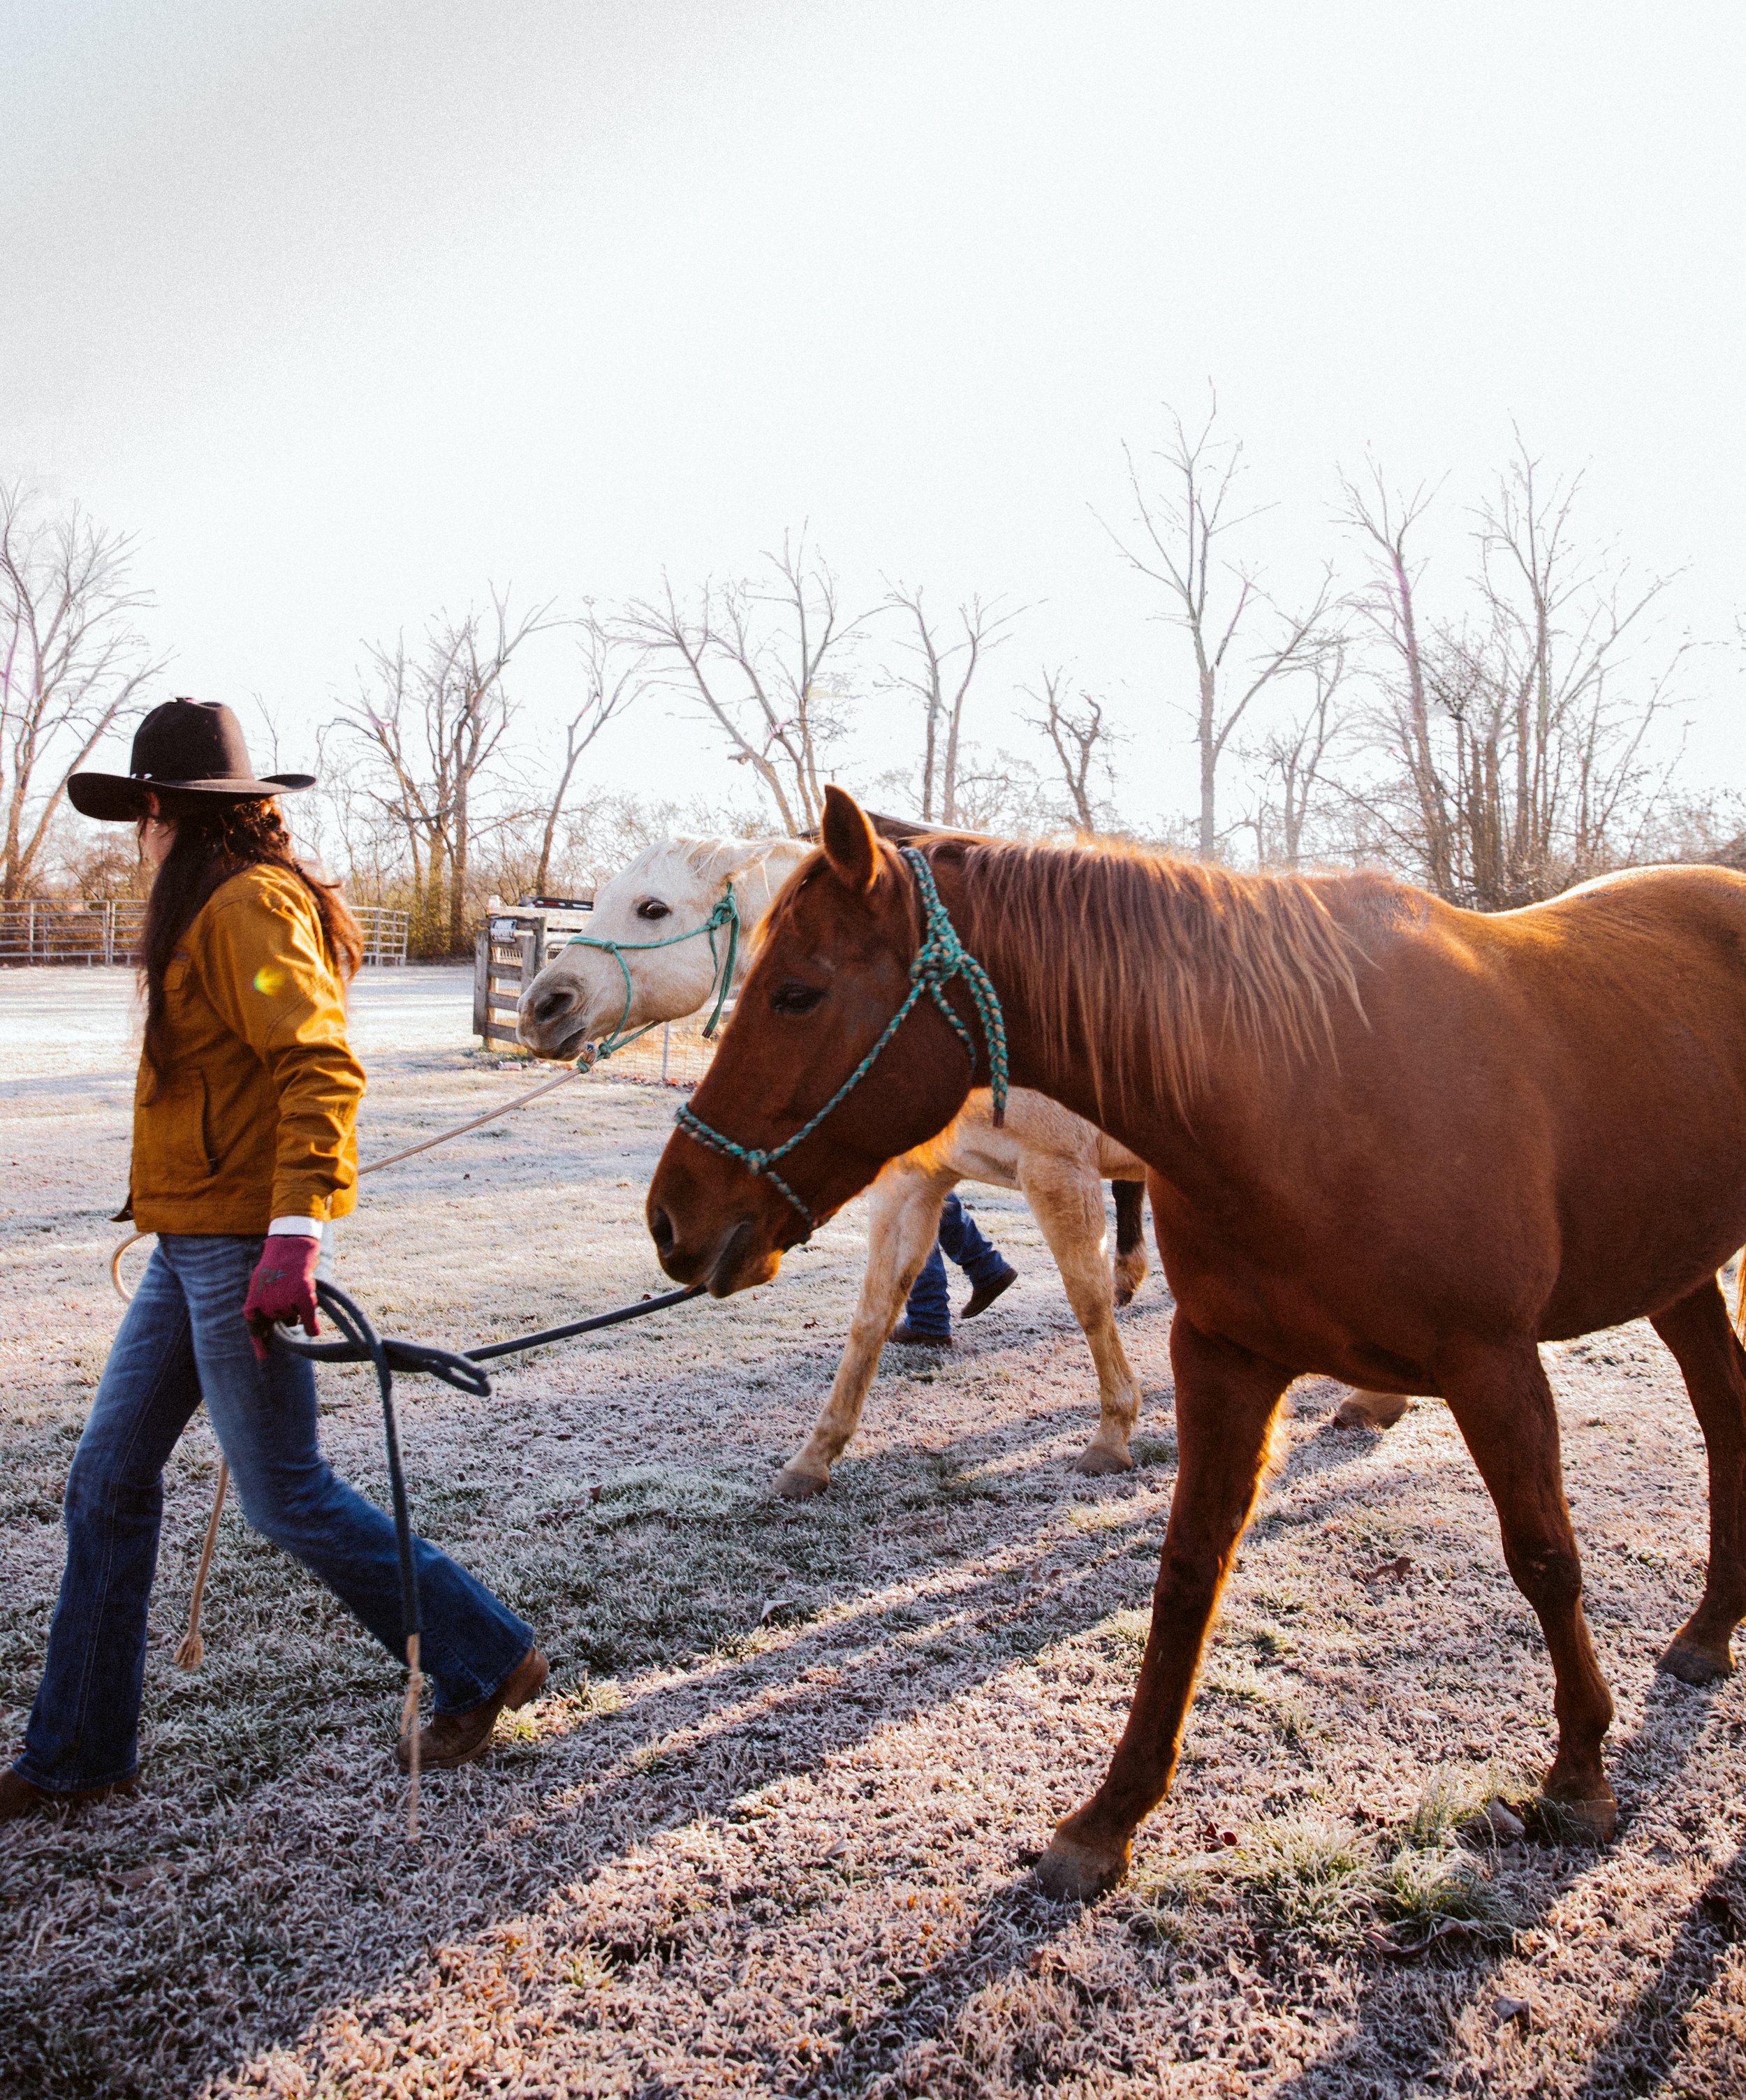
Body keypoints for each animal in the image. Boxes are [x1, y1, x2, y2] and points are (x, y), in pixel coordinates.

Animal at [516, 835, 1154, 1492]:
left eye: (651, 908)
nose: (540, 1007)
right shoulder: (911, 1182)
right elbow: (871, 1315)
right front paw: (814, 1455)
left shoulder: (1058, 1172)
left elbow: (1086, 1299)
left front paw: (1111, 1431)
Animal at [645, 785, 1746, 1898]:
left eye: (797, 993)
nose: (670, 1216)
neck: (1301, 1088)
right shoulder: (1223, 1359)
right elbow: (1184, 1575)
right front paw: (1109, 1817)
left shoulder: (1494, 1364)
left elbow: (1545, 1558)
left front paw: (1579, 1777)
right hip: (1679, 1272)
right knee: (1725, 1409)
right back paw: (1707, 1631)